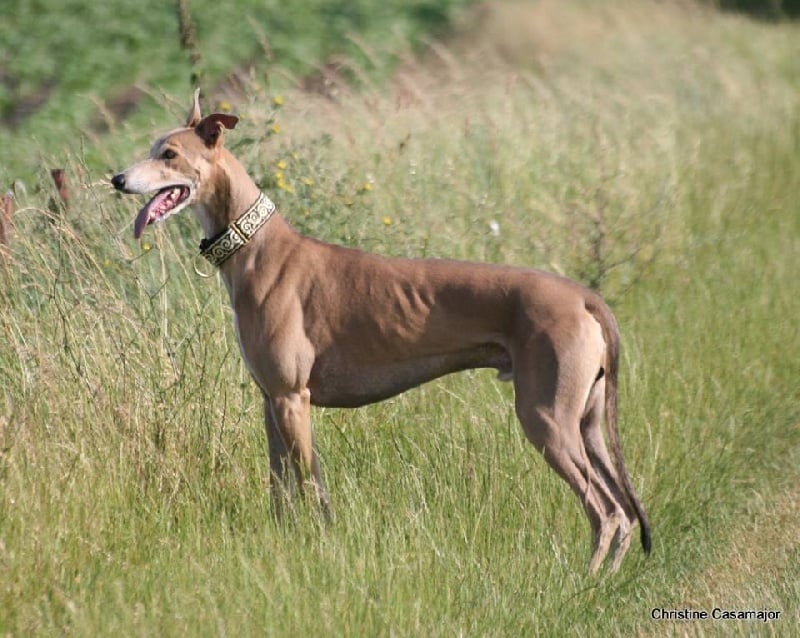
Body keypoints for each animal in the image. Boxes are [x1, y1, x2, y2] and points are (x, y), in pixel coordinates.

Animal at [111, 91, 651, 573]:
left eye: (169, 154)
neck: (258, 247)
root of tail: (583, 296)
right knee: (623, 513)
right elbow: (281, 492)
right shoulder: (271, 401)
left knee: (606, 512)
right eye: (153, 147)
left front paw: (321, 549)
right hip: (586, 422)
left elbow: (313, 489)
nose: (117, 178)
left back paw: (582, 583)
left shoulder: (292, 398)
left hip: (546, 418)